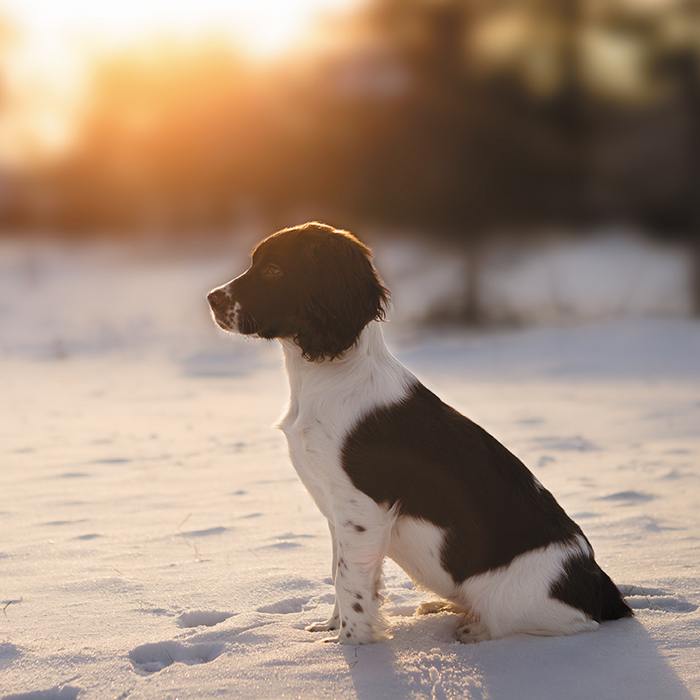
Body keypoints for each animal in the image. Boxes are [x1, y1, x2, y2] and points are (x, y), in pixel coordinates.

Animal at [208, 221, 636, 644]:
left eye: (273, 270)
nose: (211, 299)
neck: (327, 375)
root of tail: (603, 588)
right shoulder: (335, 507)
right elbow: (338, 571)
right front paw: (330, 629)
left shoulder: (362, 507)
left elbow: (348, 580)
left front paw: (349, 646)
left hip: (514, 596)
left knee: (562, 623)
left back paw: (474, 629)